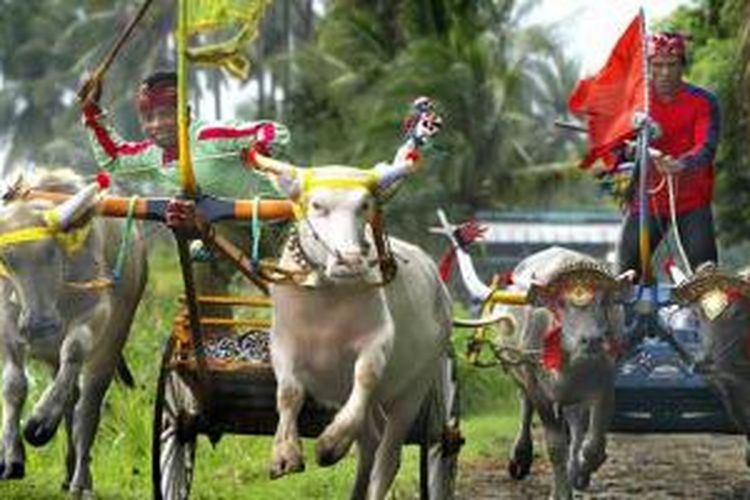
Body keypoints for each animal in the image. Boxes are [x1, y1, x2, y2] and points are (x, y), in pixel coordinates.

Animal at [0, 167, 148, 492]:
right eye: (6, 258)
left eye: (51, 252)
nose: (40, 325)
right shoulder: (6, 323)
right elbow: (14, 385)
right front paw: (12, 458)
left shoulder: (97, 314)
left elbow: (76, 348)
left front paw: (40, 423)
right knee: (69, 397)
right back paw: (68, 474)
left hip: (110, 347)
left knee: (87, 410)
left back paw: (80, 480)